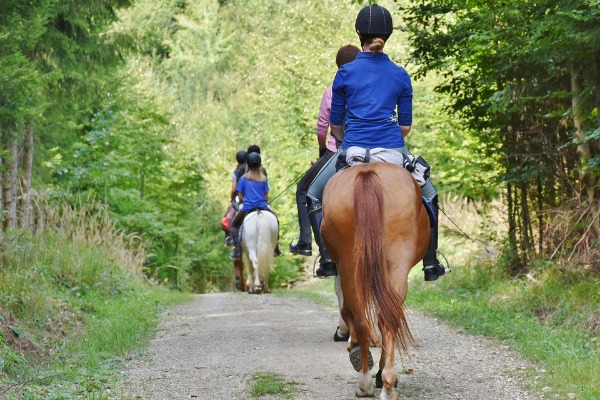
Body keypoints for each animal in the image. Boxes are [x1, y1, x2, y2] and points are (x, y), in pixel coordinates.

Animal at [322, 161, 428, 398]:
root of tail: (367, 172)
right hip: (392, 265)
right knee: (382, 318)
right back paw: (381, 382)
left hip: (354, 265)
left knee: (370, 318)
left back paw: (372, 380)